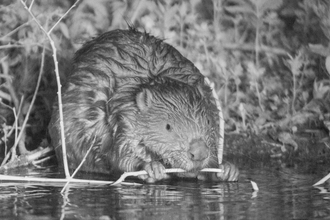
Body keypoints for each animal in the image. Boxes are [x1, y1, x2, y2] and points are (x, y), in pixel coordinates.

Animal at [49, 27, 238, 182]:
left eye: (208, 122)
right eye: (168, 126)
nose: (199, 152)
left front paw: (227, 169)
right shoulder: (124, 116)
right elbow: (121, 155)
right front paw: (152, 167)